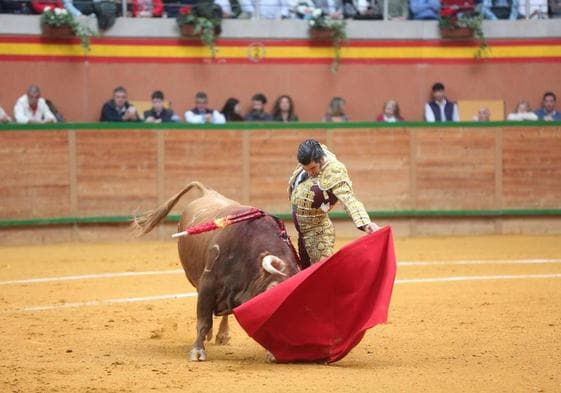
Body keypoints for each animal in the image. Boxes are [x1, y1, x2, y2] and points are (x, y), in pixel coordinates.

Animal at [132, 182, 300, 360]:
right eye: (272, 289)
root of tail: (207, 192)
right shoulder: (208, 284)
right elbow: (204, 320)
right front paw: (197, 351)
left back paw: (222, 335)